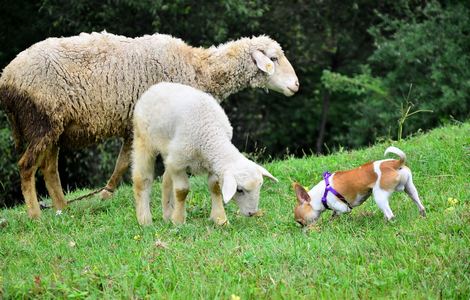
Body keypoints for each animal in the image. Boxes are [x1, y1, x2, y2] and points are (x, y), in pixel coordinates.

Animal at [132, 82, 278, 225]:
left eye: (260, 186)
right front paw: (178, 221)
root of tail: (156, 86)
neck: (210, 133)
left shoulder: (213, 164)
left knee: (166, 178)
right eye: (239, 190)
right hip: (144, 139)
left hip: (170, 151)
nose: (252, 213)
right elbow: (182, 191)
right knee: (142, 179)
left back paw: (168, 215)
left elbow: (215, 187)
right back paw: (145, 220)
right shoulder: (179, 164)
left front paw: (220, 219)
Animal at [294, 146, 426, 226]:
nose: (304, 231)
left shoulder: (343, 207)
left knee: (390, 214)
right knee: (419, 203)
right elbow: (334, 215)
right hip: (410, 188)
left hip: (379, 196)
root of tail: (394, 163)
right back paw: (422, 215)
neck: (322, 194)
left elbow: (339, 211)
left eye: (300, 222)